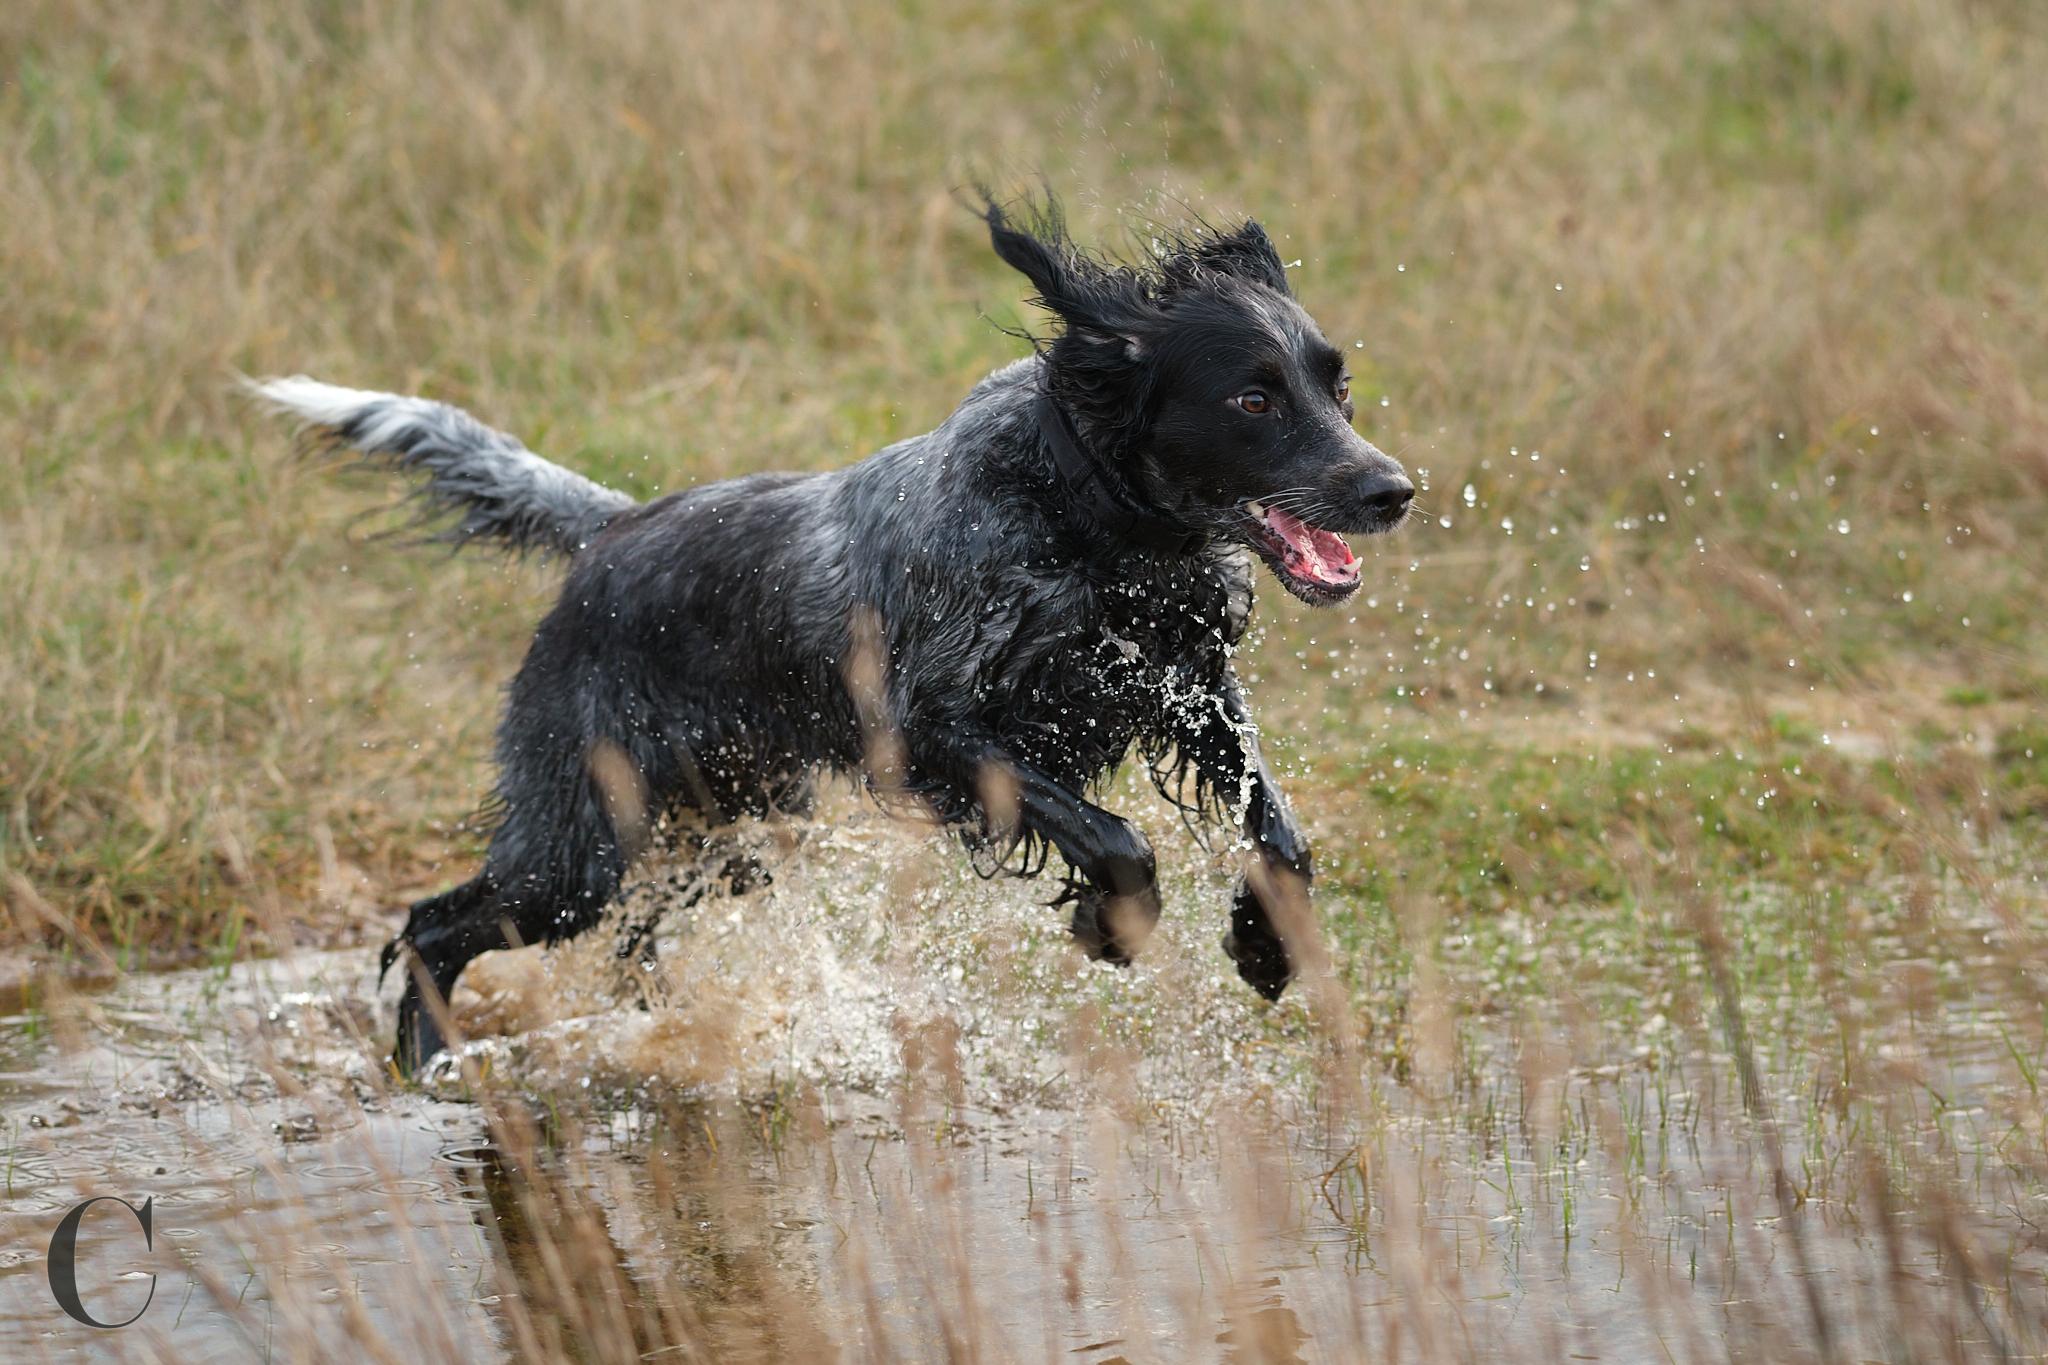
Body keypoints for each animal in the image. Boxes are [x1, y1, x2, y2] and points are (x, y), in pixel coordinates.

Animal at [251, 194, 1409, 1064]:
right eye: (1253, 399)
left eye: (1337, 383)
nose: (1393, 490)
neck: (1087, 524)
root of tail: (609, 530)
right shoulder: (938, 735)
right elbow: (1115, 841)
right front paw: (1111, 927)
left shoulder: (1186, 686)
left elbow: (1282, 835)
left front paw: (1264, 947)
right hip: (578, 846)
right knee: (433, 927)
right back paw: (425, 1066)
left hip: (725, 830)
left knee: (624, 943)